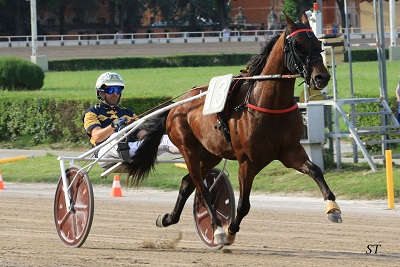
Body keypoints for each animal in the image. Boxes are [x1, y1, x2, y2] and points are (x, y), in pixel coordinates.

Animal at [126, 12, 342, 247]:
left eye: (319, 44)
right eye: (298, 45)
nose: (322, 77)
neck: (268, 104)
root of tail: (175, 107)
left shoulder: (290, 152)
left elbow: (316, 170)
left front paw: (333, 209)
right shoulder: (247, 161)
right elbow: (243, 204)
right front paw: (230, 231)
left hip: (210, 153)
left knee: (187, 183)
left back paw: (168, 218)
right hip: (187, 148)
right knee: (200, 187)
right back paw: (217, 228)